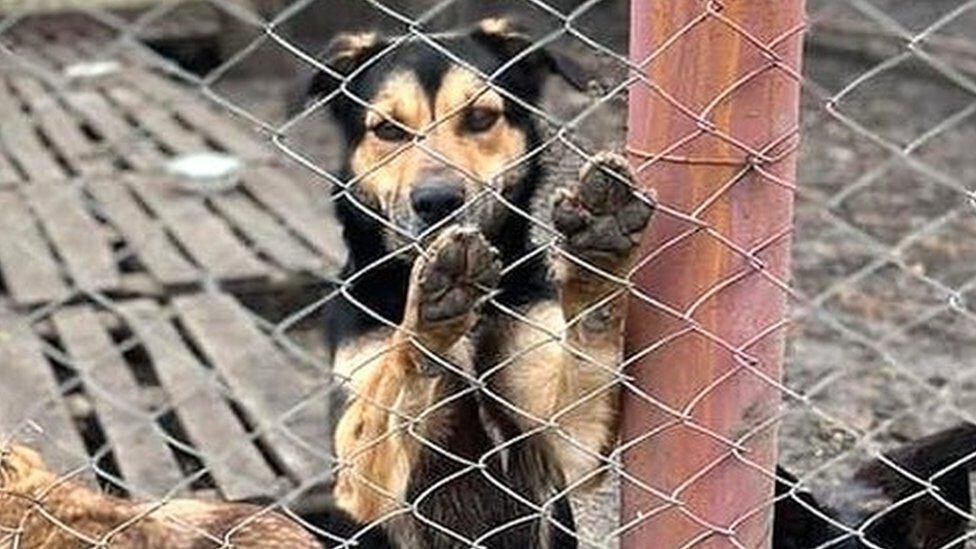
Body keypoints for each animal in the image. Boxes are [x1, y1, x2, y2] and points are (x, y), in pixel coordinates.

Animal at [308, 17, 652, 548]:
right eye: (388, 130)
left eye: (480, 118)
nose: (437, 201)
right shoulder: (360, 479)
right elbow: (393, 381)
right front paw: (427, 315)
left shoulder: (570, 438)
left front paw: (599, 244)